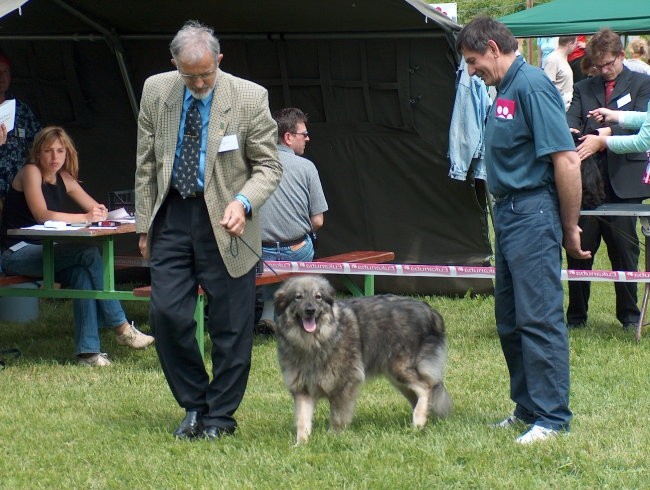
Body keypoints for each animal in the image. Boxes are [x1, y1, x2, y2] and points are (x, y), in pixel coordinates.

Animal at [274, 276, 450, 444]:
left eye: (318, 297)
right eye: (298, 297)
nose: (310, 310)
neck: (315, 342)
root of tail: (430, 311)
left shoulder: (344, 385)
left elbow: (337, 417)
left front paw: (333, 437)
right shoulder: (302, 389)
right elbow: (302, 420)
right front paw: (301, 444)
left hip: (399, 368)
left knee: (426, 387)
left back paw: (419, 420)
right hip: (397, 378)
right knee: (418, 394)